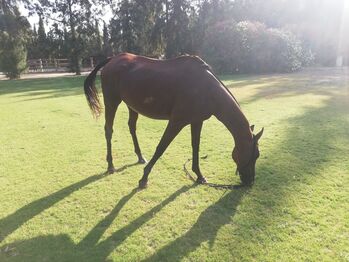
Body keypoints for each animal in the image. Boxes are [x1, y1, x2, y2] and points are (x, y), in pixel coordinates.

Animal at [84, 52, 262, 188]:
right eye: (255, 155)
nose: (250, 182)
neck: (206, 88)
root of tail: (113, 59)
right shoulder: (177, 121)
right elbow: (161, 147)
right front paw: (144, 179)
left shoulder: (197, 121)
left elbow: (195, 147)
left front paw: (199, 175)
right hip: (111, 101)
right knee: (109, 130)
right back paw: (110, 165)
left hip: (131, 105)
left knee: (131, 127)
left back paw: (140, 156)